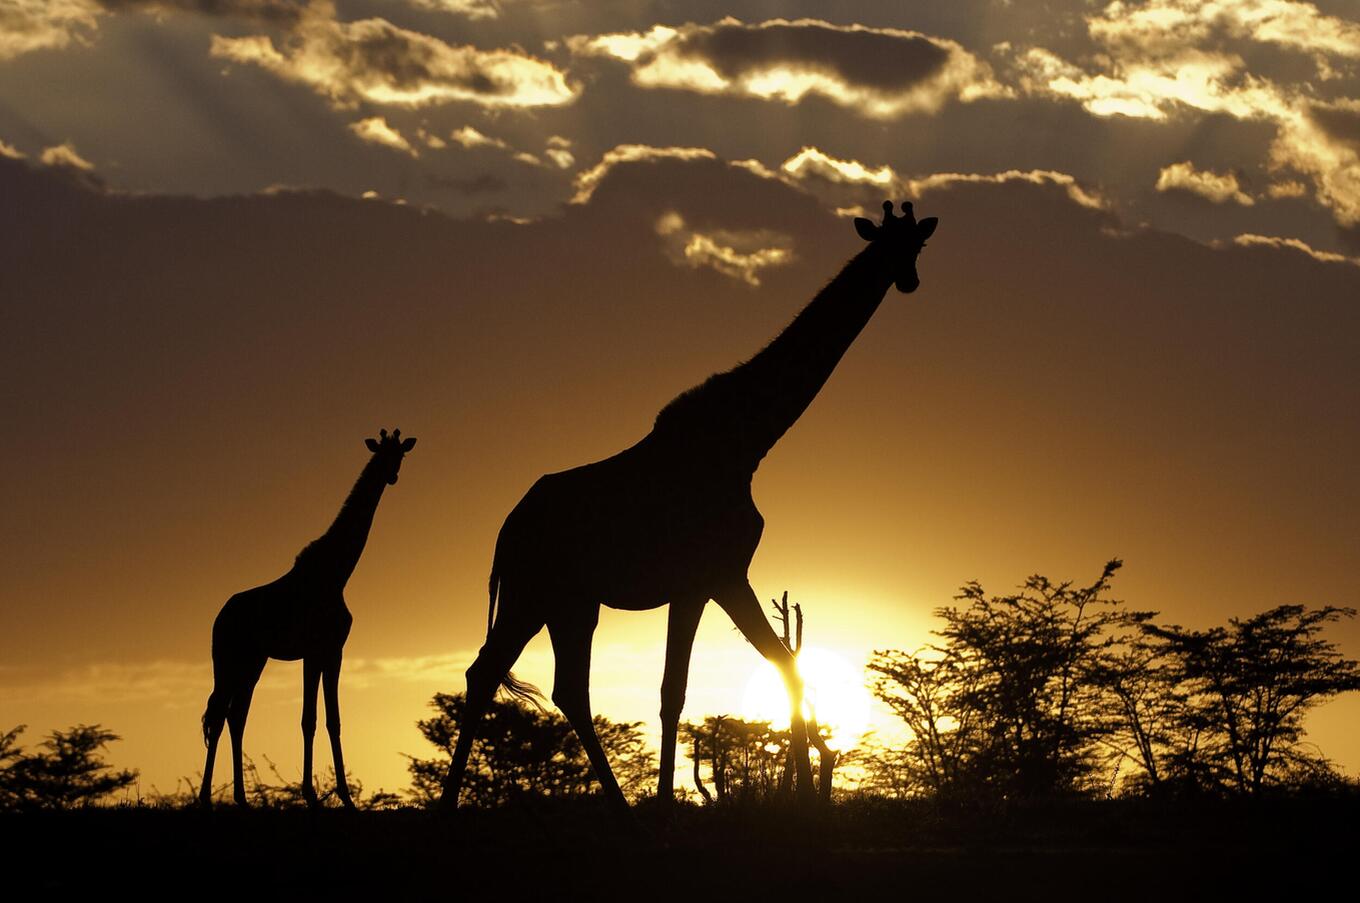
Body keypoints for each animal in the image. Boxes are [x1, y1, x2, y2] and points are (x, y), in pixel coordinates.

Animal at [198, 427, 413, 805]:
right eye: (381, 454)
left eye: (399, 454)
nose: (392, 476)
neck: (337, 574)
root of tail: (218, 619)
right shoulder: (314, 652)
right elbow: (309, 720)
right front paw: (314, 795)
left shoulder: (332, 651)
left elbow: (332, 720)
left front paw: (343, 797)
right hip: (227, 660)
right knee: (220, 714)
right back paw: (206, 798)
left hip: (253, 661)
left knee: (235, 716)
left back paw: (241, 798)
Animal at [443, 202, 935, 810]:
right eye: (887, 244)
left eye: (916, 244)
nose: (908, 280)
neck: (747, 442)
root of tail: (506, 530)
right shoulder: (706, 578)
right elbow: (675, 690)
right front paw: (671, 802)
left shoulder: (724, 576)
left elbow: (781, 665)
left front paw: (809, 784)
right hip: (532, 591)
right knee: (488, 673)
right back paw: (452, 805)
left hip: (570, 602)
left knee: (561, 687)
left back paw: (615, 805)